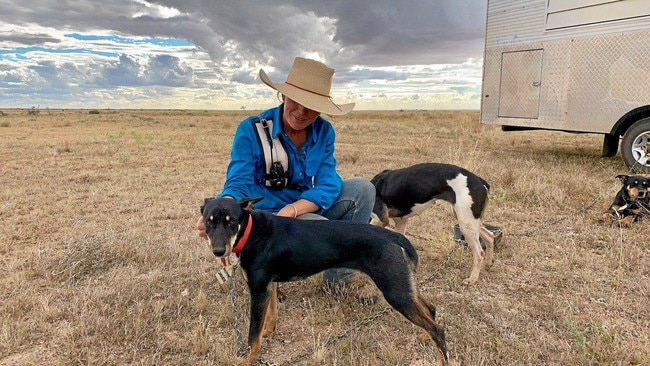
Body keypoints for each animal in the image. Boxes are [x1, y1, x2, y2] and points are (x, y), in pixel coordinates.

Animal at [200, 197, 448, 366]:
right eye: (209, 222)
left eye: (232, 222)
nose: (218, 251)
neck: (252, 231)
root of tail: (393, 236)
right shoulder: (268, 286)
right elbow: (270, 316)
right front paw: (268, 332)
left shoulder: (258, 288)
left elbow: (252, 334)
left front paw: (247, 359)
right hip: (404, 286)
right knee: (431, 310)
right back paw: (424, 336)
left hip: (395, 291)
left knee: (437, 330)